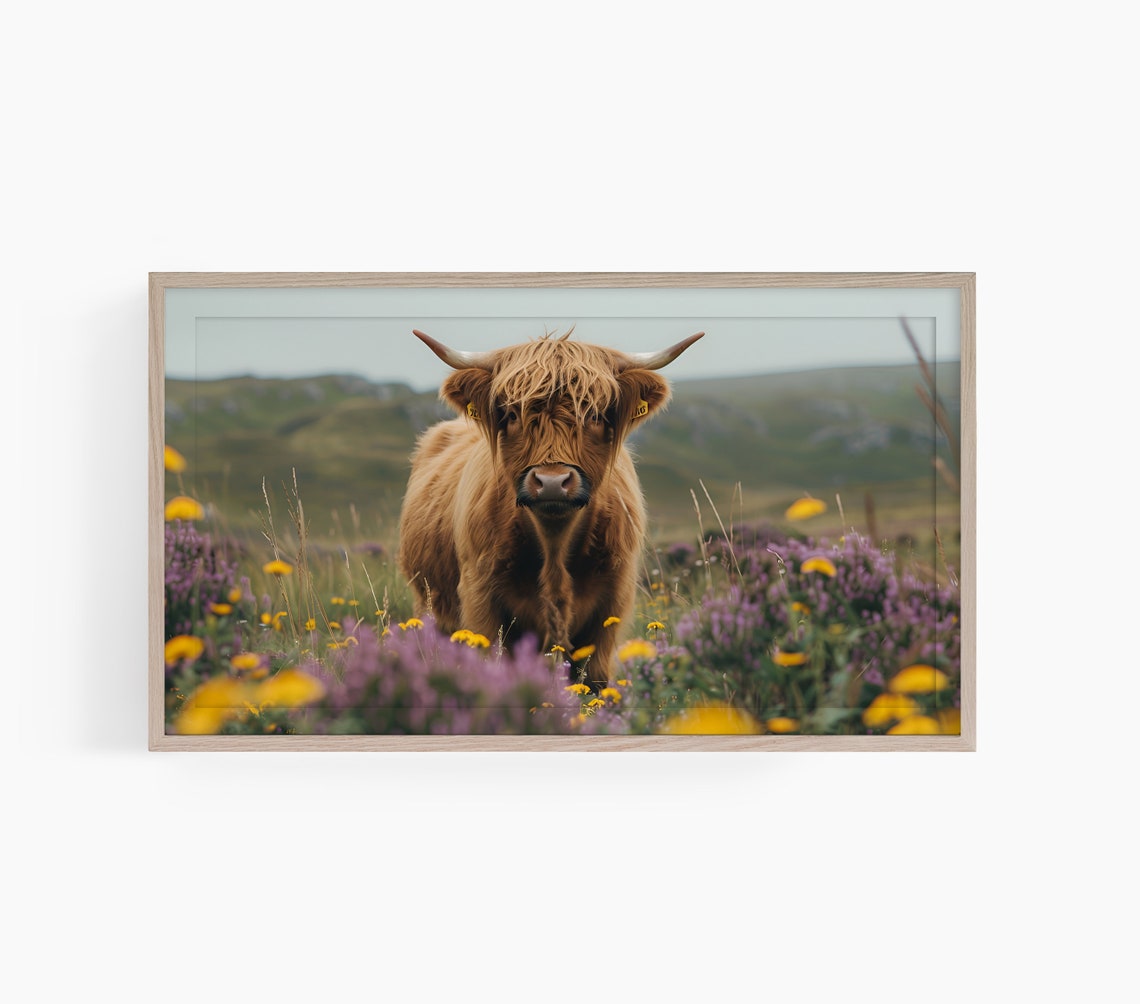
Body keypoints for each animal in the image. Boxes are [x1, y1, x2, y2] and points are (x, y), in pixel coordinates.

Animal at [397, 328, 703, 686]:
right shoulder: (479, 596)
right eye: (511, 414)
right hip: (428, 603)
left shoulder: (613, 601)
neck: (554, 543)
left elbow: (595, 680)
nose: (553, 481)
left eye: (595, 415)